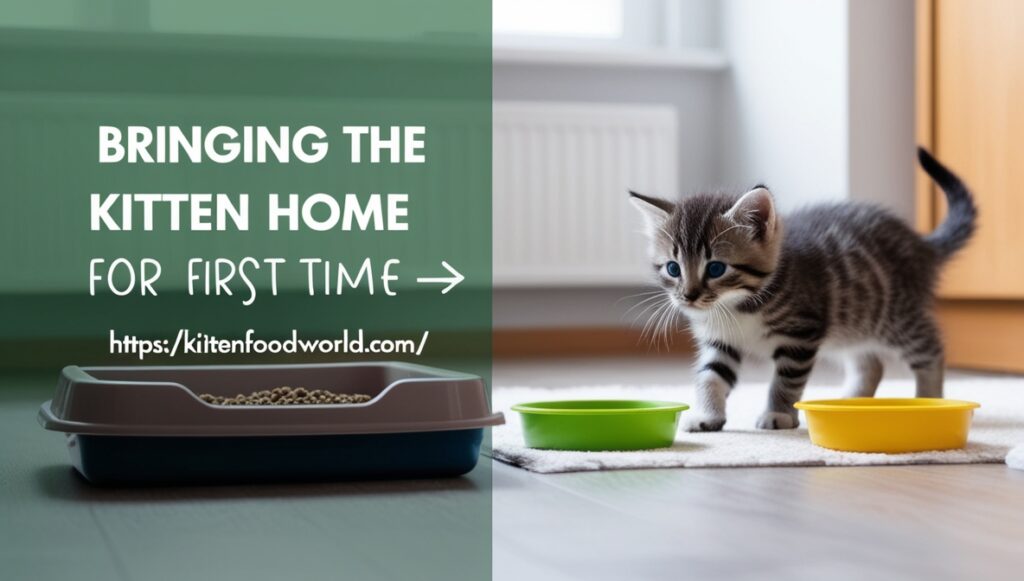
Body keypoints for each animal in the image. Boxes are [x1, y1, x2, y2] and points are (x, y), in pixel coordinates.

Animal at [630, 148, 974, 432]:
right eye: (673, 268)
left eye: (715, 268)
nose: (688, 296)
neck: (737, 305)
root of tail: (921, 244)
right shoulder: (721, 341)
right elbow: (710, 376)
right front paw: (707, 415)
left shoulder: (801, 333)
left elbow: (786, 380)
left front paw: (779, 414)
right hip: (853, 323)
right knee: (870, 363)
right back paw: (852, 401)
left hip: (894, 315)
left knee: (930, 349)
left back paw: (930, 399)